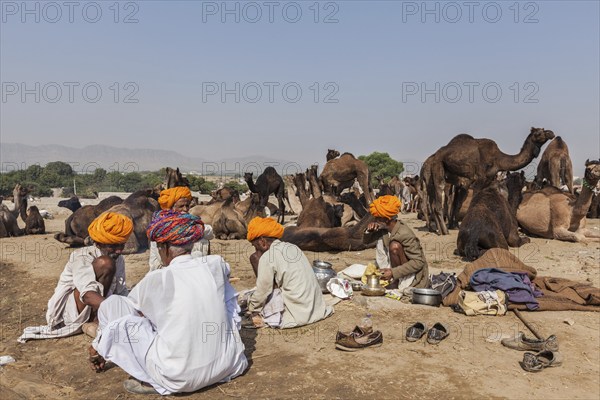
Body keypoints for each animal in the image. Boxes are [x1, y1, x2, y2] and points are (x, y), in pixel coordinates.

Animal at [422, 127, 552, 234]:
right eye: (538, 133)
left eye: (543, 129)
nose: (551, 133)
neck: (498, 159)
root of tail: (435, 156)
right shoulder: (478, 179)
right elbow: (471, 201)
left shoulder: (487, 181)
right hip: (438, 167)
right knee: (438, 202)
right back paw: (444, 231)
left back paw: (440, 229)